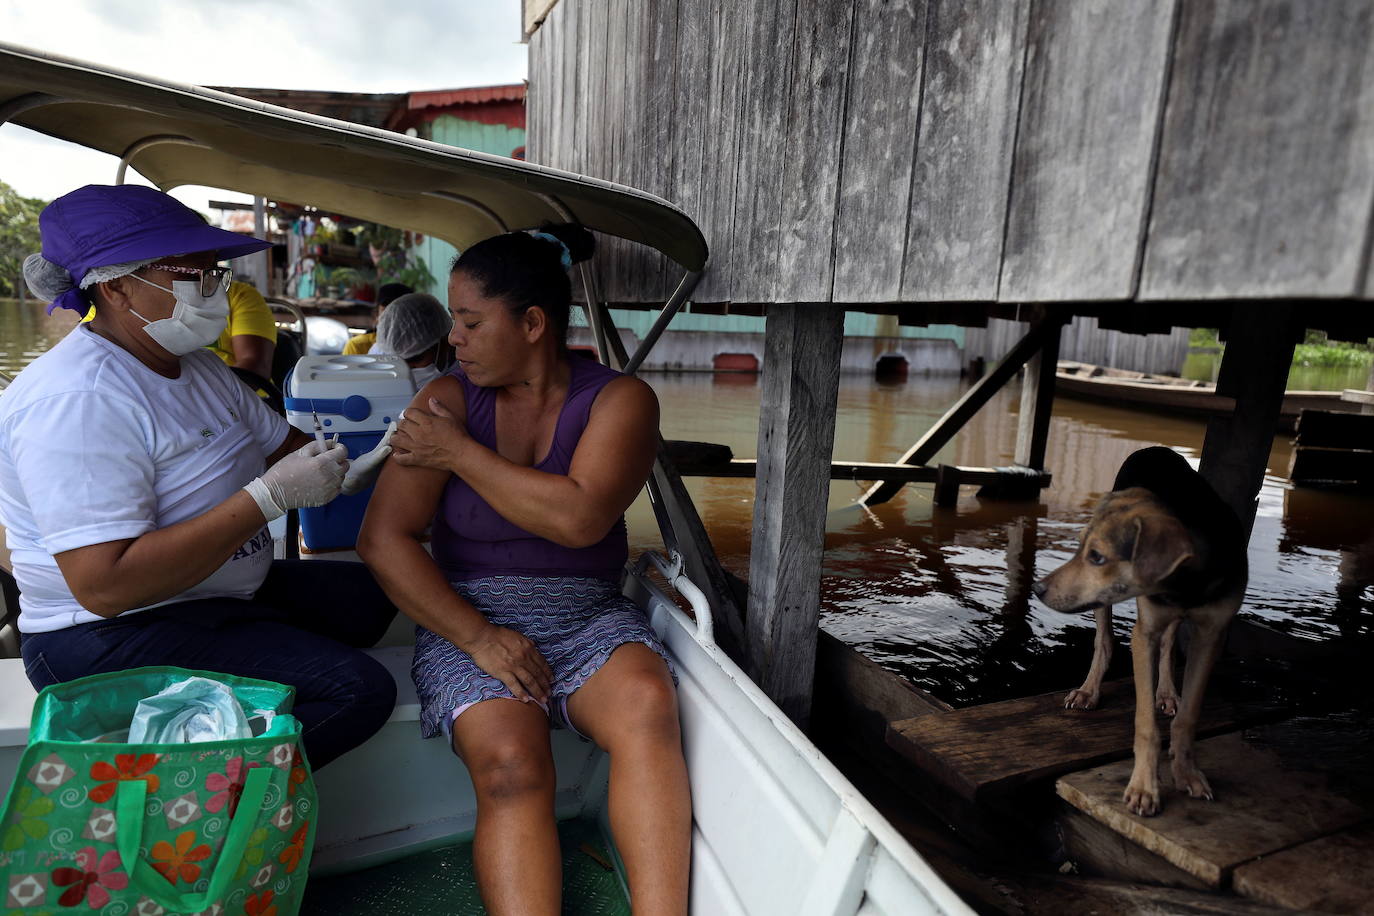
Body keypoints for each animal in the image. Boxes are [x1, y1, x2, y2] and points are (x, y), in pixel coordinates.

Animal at [1033, 447, 1247, 813]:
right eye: (1081, 549)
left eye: (1097, 557)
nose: (1038, 589)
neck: (1186, 584)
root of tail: (1154, 449)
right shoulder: (1143, 634)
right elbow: (1145, 723)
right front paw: (1145, 786)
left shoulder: (1211, 635)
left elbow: (1189, 715)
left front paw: (1186, 771)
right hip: (1106, 602)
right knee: (1104, 641)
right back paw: (1089, 690)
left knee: (1169, 642)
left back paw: (1166, 692)